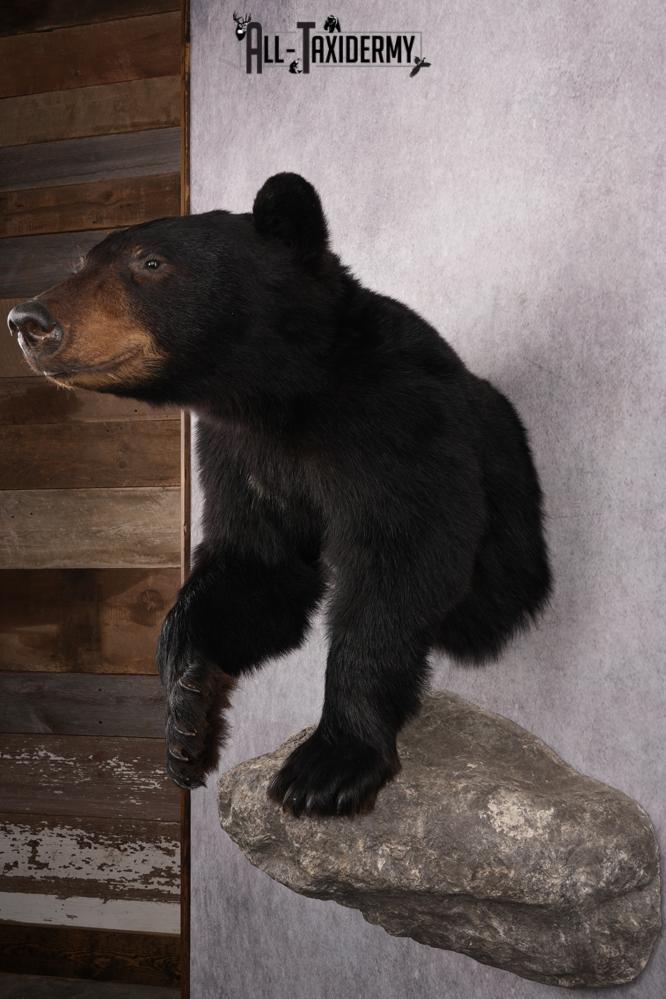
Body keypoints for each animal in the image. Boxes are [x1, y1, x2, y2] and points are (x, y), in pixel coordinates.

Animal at [7, 173, 552, 817]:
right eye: (83, 261)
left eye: (150, 262)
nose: (28, 320)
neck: (280, 395)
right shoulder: (236, 455)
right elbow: (258, 565)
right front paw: (187, 717)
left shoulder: (396, 424)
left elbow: (400, 564)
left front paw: (328, 766)